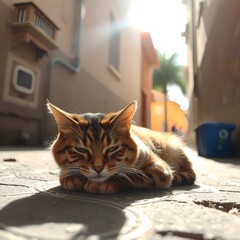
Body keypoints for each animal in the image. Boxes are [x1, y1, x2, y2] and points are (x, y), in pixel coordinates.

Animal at [47, 100, 196, 194]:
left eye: (112, 148)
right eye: (81, 149)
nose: (98, 168)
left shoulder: (161, 171)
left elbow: (129, 177)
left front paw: (104, 183)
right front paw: (71, 178)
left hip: (173, 149)